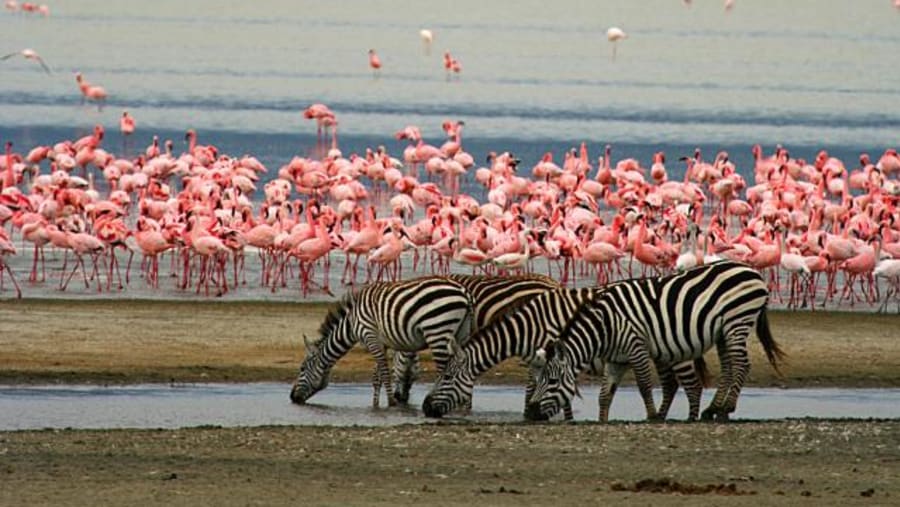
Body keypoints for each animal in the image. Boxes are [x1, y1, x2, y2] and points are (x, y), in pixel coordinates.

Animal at [289, 276, 474, 408]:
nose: (292, 397)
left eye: (302, 368)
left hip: (437, 330)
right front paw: (375, 405)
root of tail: (464, 292)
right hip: (459, 334)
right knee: (463, 366)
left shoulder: (370, 336)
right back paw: (464, 405)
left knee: (443, 369)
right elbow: (376, 376)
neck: (351, 323)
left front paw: (391, 402)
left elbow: (384, 373)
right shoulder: (380, 342)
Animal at [420, 283, 707, 420]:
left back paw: (691, 417)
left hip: (676, 349)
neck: (530, 327)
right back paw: (663, 415)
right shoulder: (540, 360)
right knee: (671, 385)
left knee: (691, 385)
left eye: (446, 378)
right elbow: (543, 389)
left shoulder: (550, 355)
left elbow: (537, 389)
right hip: (662, 354)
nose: (425, 408)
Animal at [525, 260, 786, 422]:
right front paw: (603, 420)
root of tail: (751, 270)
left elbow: (643, 385)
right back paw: (713, 408)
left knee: (741, 365)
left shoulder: (636, 347)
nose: (532, 413)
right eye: (540, 379)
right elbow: (605, 394)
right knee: (728, 367)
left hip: (737, 321)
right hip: (724, 331)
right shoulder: (616, 360)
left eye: (552, 381)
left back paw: (726, 408)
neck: (605, 325)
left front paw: (651, 416)